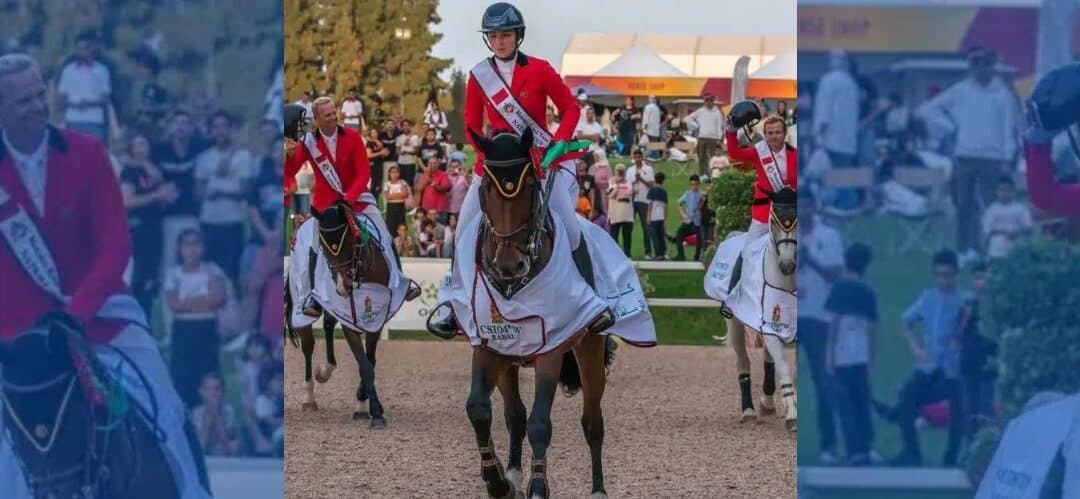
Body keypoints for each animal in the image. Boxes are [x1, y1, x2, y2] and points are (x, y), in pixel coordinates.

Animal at [464, 128, 617, 499]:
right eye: (486, 187)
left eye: (532, 185)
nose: (510, 265)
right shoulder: (488, 345)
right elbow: (479, 408)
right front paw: (499, 482)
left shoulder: (551, 350)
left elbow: (540, 423)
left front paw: (537, 486)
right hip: (510, 361)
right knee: (514, 415)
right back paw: (513, 474)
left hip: (590, 352)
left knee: (592, 422)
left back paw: (598, 490)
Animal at [721, 189, 799, 429]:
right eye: (773, 221)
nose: (787, 265)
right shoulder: (772, 327)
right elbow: (784, 368)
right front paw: (793, 415)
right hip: (735, 326)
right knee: (743, 362)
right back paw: (749, 410)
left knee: (768, 361)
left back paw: (768, 402)